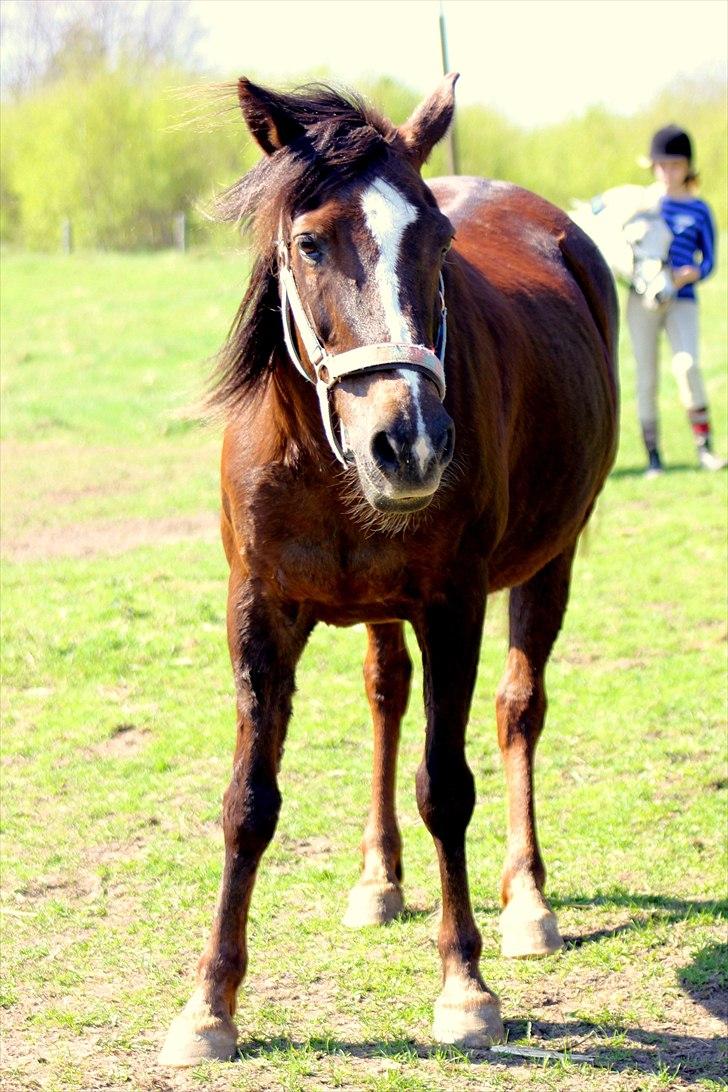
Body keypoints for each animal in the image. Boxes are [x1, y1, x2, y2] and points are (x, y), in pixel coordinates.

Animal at [158, 74, 615, 1065]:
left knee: (519, 711)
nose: (407, 443)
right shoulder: (258, 612)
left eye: (439, 241)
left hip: (551, 560)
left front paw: (464, 986)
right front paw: (209, 1003)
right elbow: (248, 801)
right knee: (384, 697)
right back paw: (379, 877)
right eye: (308, 241)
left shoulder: (452, 605)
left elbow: (447, 786)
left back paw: (527, 899)